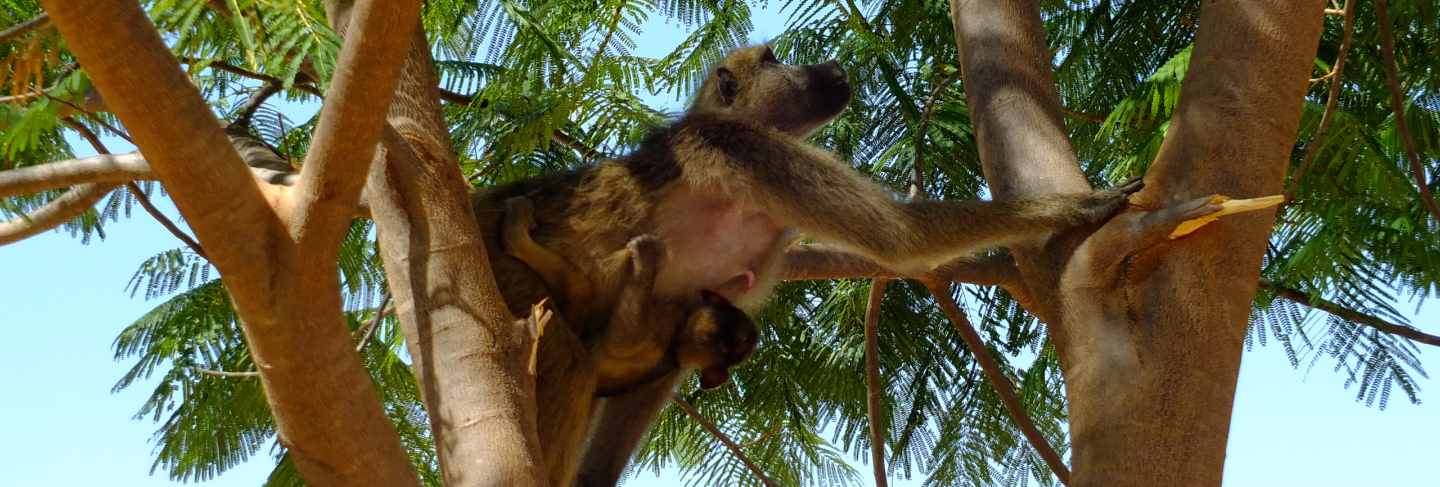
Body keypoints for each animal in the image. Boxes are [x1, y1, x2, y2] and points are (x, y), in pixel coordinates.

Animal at [501, 195, 758, 395]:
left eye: (730, 349)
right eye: (735, 338)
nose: (723, 342)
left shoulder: (665, 327)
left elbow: (622, 343)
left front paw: (649, 257)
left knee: (579, 286)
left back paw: (516, 232)